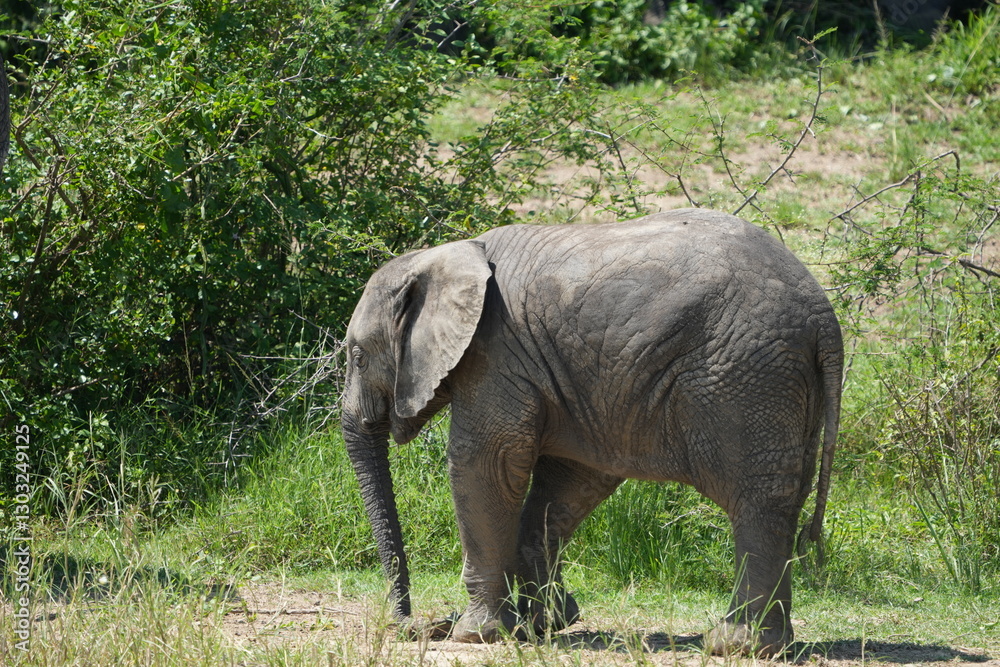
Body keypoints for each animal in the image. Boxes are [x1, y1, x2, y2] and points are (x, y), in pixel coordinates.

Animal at [341, 208, 842, 656]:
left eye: (358, 357)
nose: (418, 626)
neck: (444, 255)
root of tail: (824, 317)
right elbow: (570, 479)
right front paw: (546, 624)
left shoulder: (494, 353)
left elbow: (485, 463)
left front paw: (477, 635)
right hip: (779, 380)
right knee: (785, 498)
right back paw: (767, 644)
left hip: (743, 376)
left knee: (757, 501)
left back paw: (735, 645)